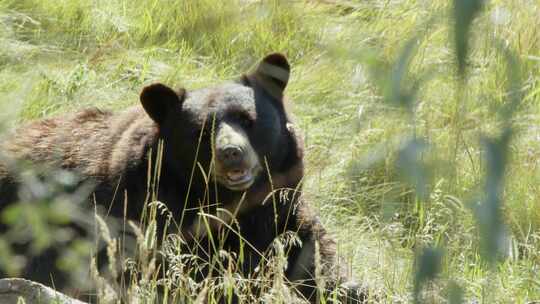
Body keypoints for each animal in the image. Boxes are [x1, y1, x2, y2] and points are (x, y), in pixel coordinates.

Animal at [0, 53, 368, 302]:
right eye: (201, 131)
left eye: (247, 119)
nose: (231, 152)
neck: (226, 201)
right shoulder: (150, 219)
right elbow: (191, 276)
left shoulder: (283, 207)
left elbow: (316, 254)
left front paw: (350, 288)